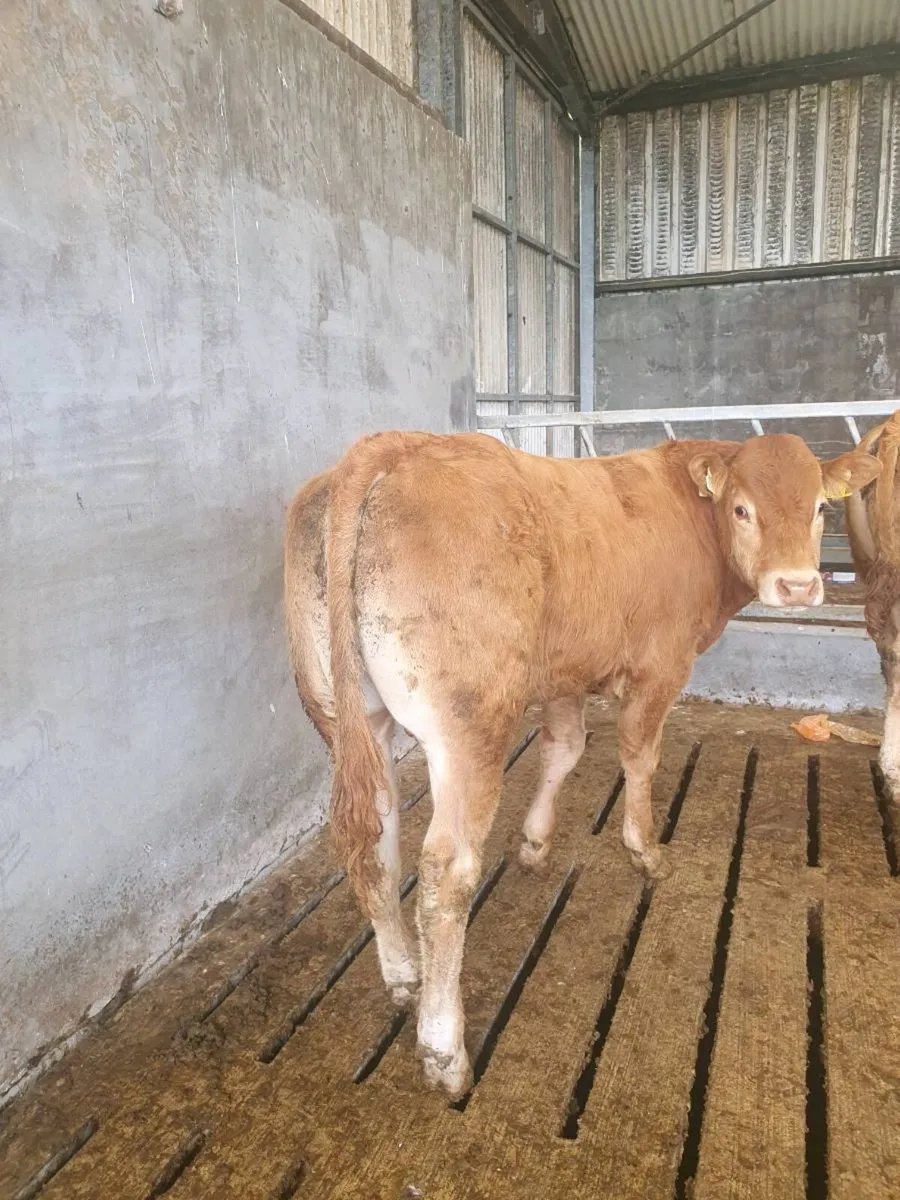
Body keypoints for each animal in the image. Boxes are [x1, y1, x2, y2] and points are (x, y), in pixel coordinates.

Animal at [284, 429, 879, 1098]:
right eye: (742, 509)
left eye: (820, 507)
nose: (798, 586)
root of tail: (389, 446)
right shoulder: (659, 666)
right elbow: (640, 758)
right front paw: (645, 850)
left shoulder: (565, 670)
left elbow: (564, 747)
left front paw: (536, 843)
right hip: (468, 729)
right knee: (446, 876)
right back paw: (444, 1050)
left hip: (348, 718)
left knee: (376, 846)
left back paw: (403, 977)